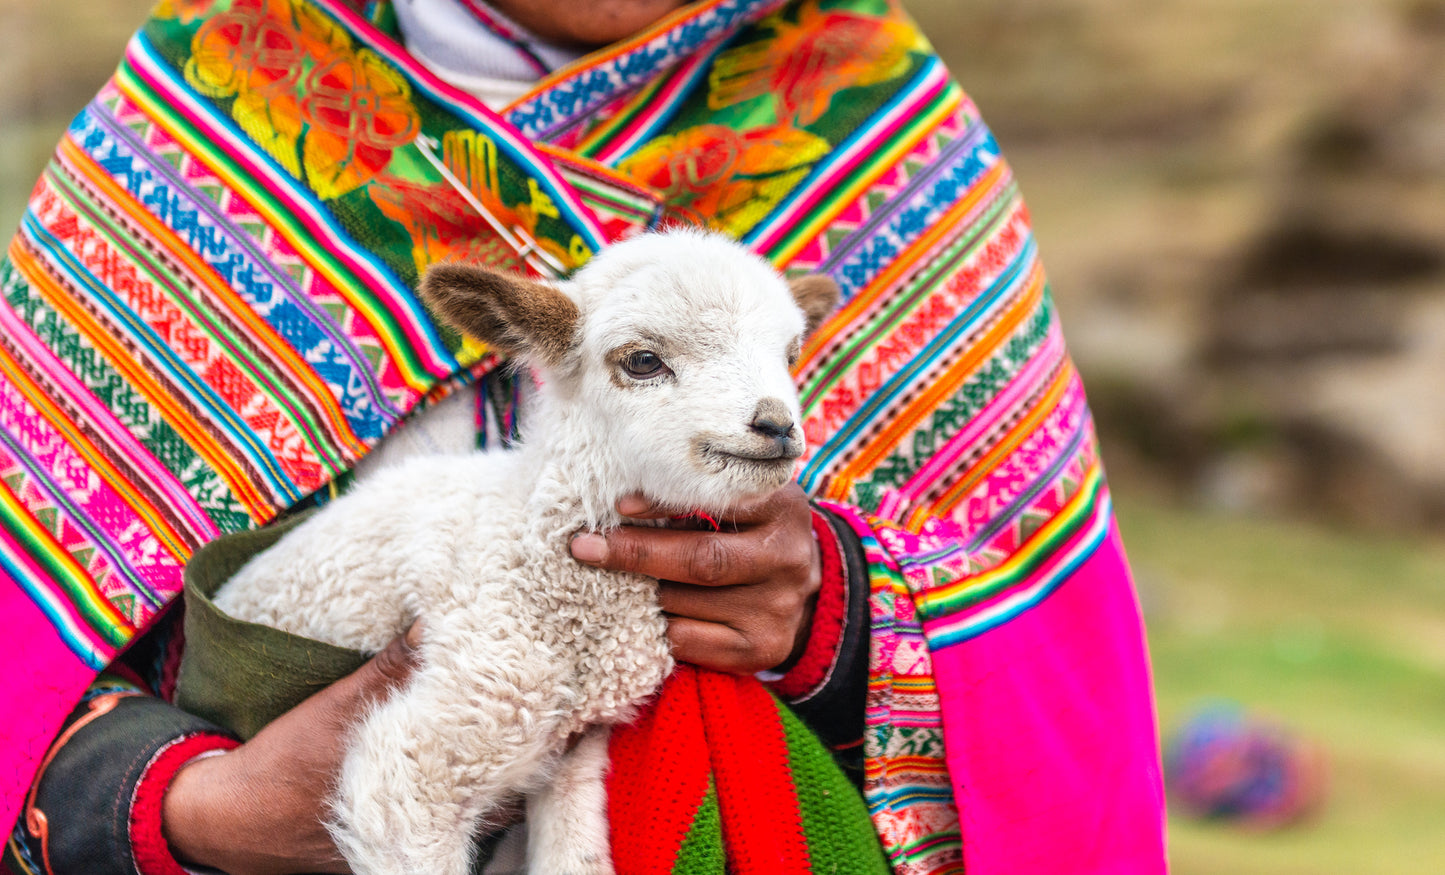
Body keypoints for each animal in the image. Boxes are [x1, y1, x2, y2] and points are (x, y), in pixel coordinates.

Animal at [215, 229, 843, 875]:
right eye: (643, 360)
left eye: (790, 354)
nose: (777, 426)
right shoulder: (442, 735)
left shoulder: (572, 753)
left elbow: (574, 857)